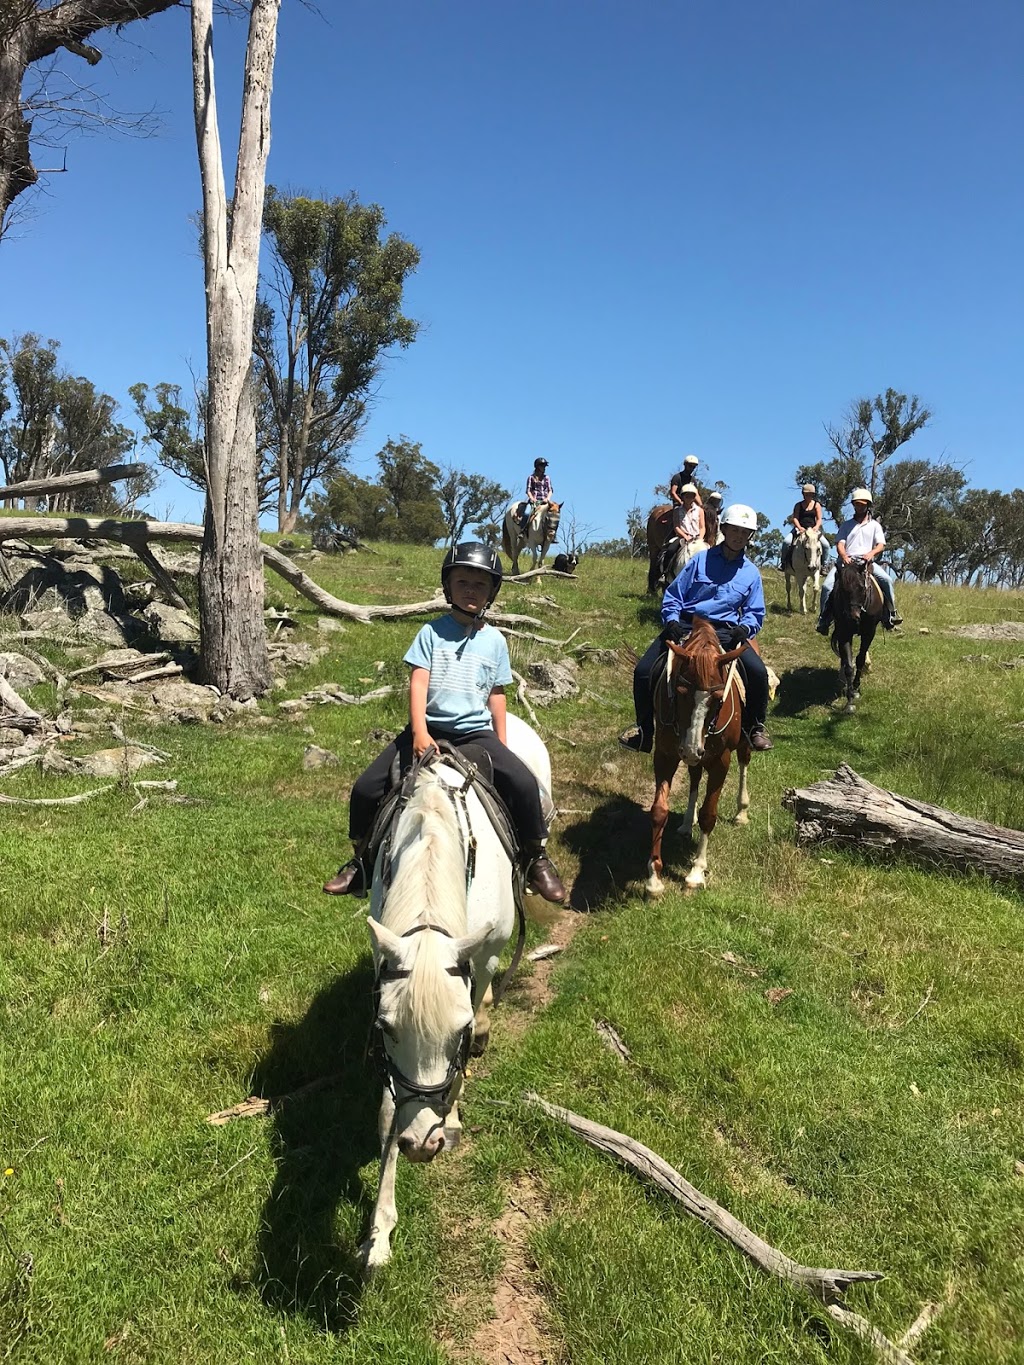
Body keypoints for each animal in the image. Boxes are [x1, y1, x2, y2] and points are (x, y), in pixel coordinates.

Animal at [360, 709, 554, 1272]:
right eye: (383, 1027)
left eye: (459, 1030)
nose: (422, 1144)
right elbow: (389, 1105)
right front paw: (379, 1233)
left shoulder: (484, 955)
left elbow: (473, 1015)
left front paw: (455, 1109)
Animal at [649, 619, 753, 895]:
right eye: (680, 691)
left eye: (717, 698)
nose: (691, 748)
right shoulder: (665, 755)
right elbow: (659, 811)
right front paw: (653, 878)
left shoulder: (720, 761)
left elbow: (709, 815)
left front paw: (696, 872)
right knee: (695, 777)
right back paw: (687, 822)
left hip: (741, 743)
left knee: (744, 761)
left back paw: (741, 812)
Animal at [835, 559, 884, 720]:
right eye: (842, 589)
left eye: (862, 587)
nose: (853, 617)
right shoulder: (844, 633)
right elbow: (849, 666)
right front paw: (849, 701)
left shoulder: (869, 633)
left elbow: (860, 659)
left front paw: (856, 688)